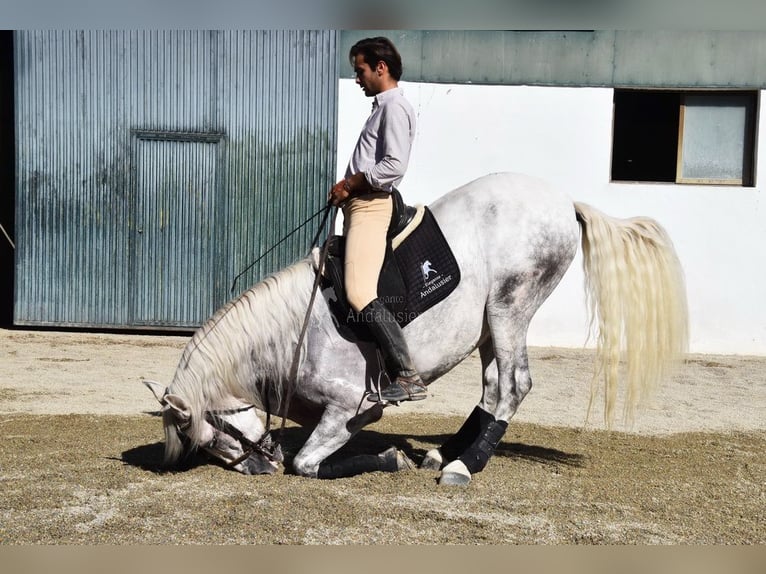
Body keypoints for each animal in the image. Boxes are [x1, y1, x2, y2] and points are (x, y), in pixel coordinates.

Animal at [144, 172, 689, 485]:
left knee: (514, 385)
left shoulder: (350, 408)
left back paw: (465, 466)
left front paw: (388, 459)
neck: (289, 333)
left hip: (510, 308)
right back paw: (444, 454)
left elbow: (308, 464)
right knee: (493, 387)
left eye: (210, 436)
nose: (259, 468)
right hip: (487, 324)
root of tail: (562, 200)